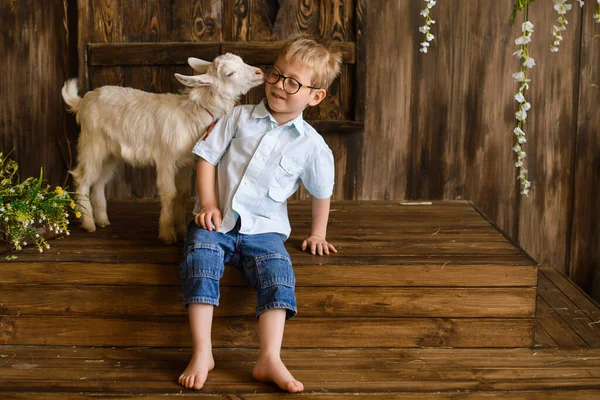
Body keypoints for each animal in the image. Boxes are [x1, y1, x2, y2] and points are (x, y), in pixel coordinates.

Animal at [61, 53, 264, 244]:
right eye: (230, 73)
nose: (259, 73)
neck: (192, 113)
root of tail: (82, 102)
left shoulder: (185, 162)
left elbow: (182, 194)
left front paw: (181, 231)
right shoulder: (166, 159)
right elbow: (169, 193)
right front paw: (167, 233)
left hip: (110, 153)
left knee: (99, 181)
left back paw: (102, 220)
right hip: (92, 144)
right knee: (82, 178)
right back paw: (88, 223)